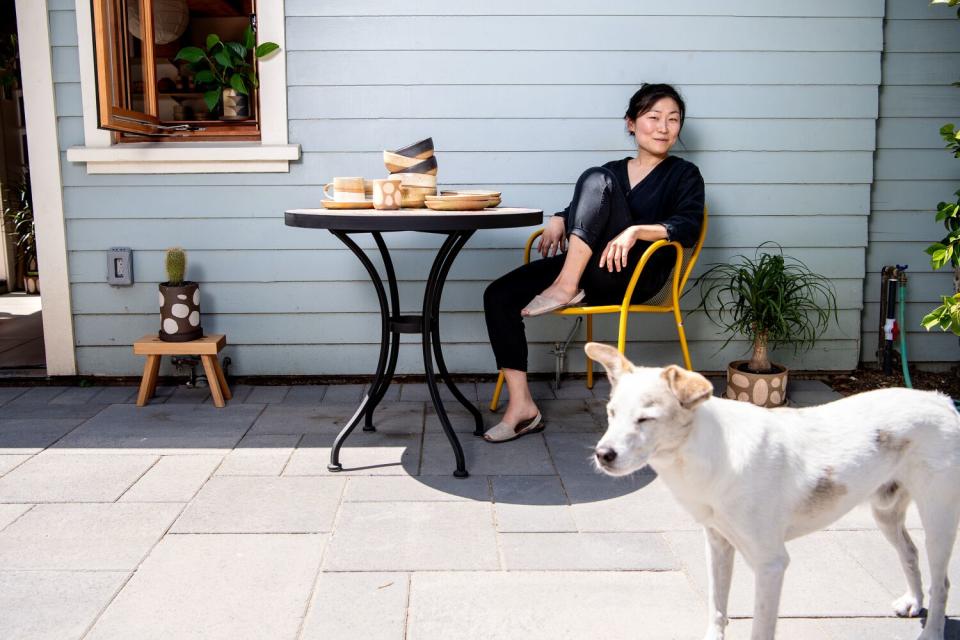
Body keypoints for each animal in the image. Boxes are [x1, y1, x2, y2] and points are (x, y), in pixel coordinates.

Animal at [584, 342, 960, 640]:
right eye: (611, 413)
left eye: (646, 419)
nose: (603, 455)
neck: (707, 451)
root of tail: (940, 400)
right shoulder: (717, 544)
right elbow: (717, 607)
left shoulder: (771, 563)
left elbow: (761, 627)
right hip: (885, 512)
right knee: (909, 552)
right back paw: (914, 602)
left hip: (938, 519)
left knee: (941, 582)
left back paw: (931, 633)